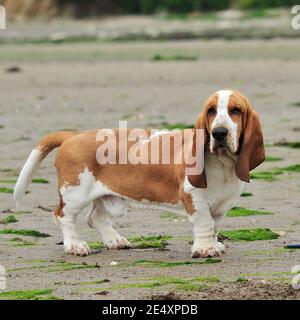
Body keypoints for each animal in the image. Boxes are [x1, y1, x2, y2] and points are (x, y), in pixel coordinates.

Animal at [14, 89, 264, 258]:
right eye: (211, 111)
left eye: (236, 110)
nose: (219, 133)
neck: (223, 164)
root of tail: (72, 136)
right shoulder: (196, 199)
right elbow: (204, 223)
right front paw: (204, 249)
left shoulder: (221, 206)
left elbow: (215, 225)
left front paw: (214, 244)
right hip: (75, 193)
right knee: (63, 216)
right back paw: (74, 246)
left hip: (106, 197)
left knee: (95, 217)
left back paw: (115, 241)